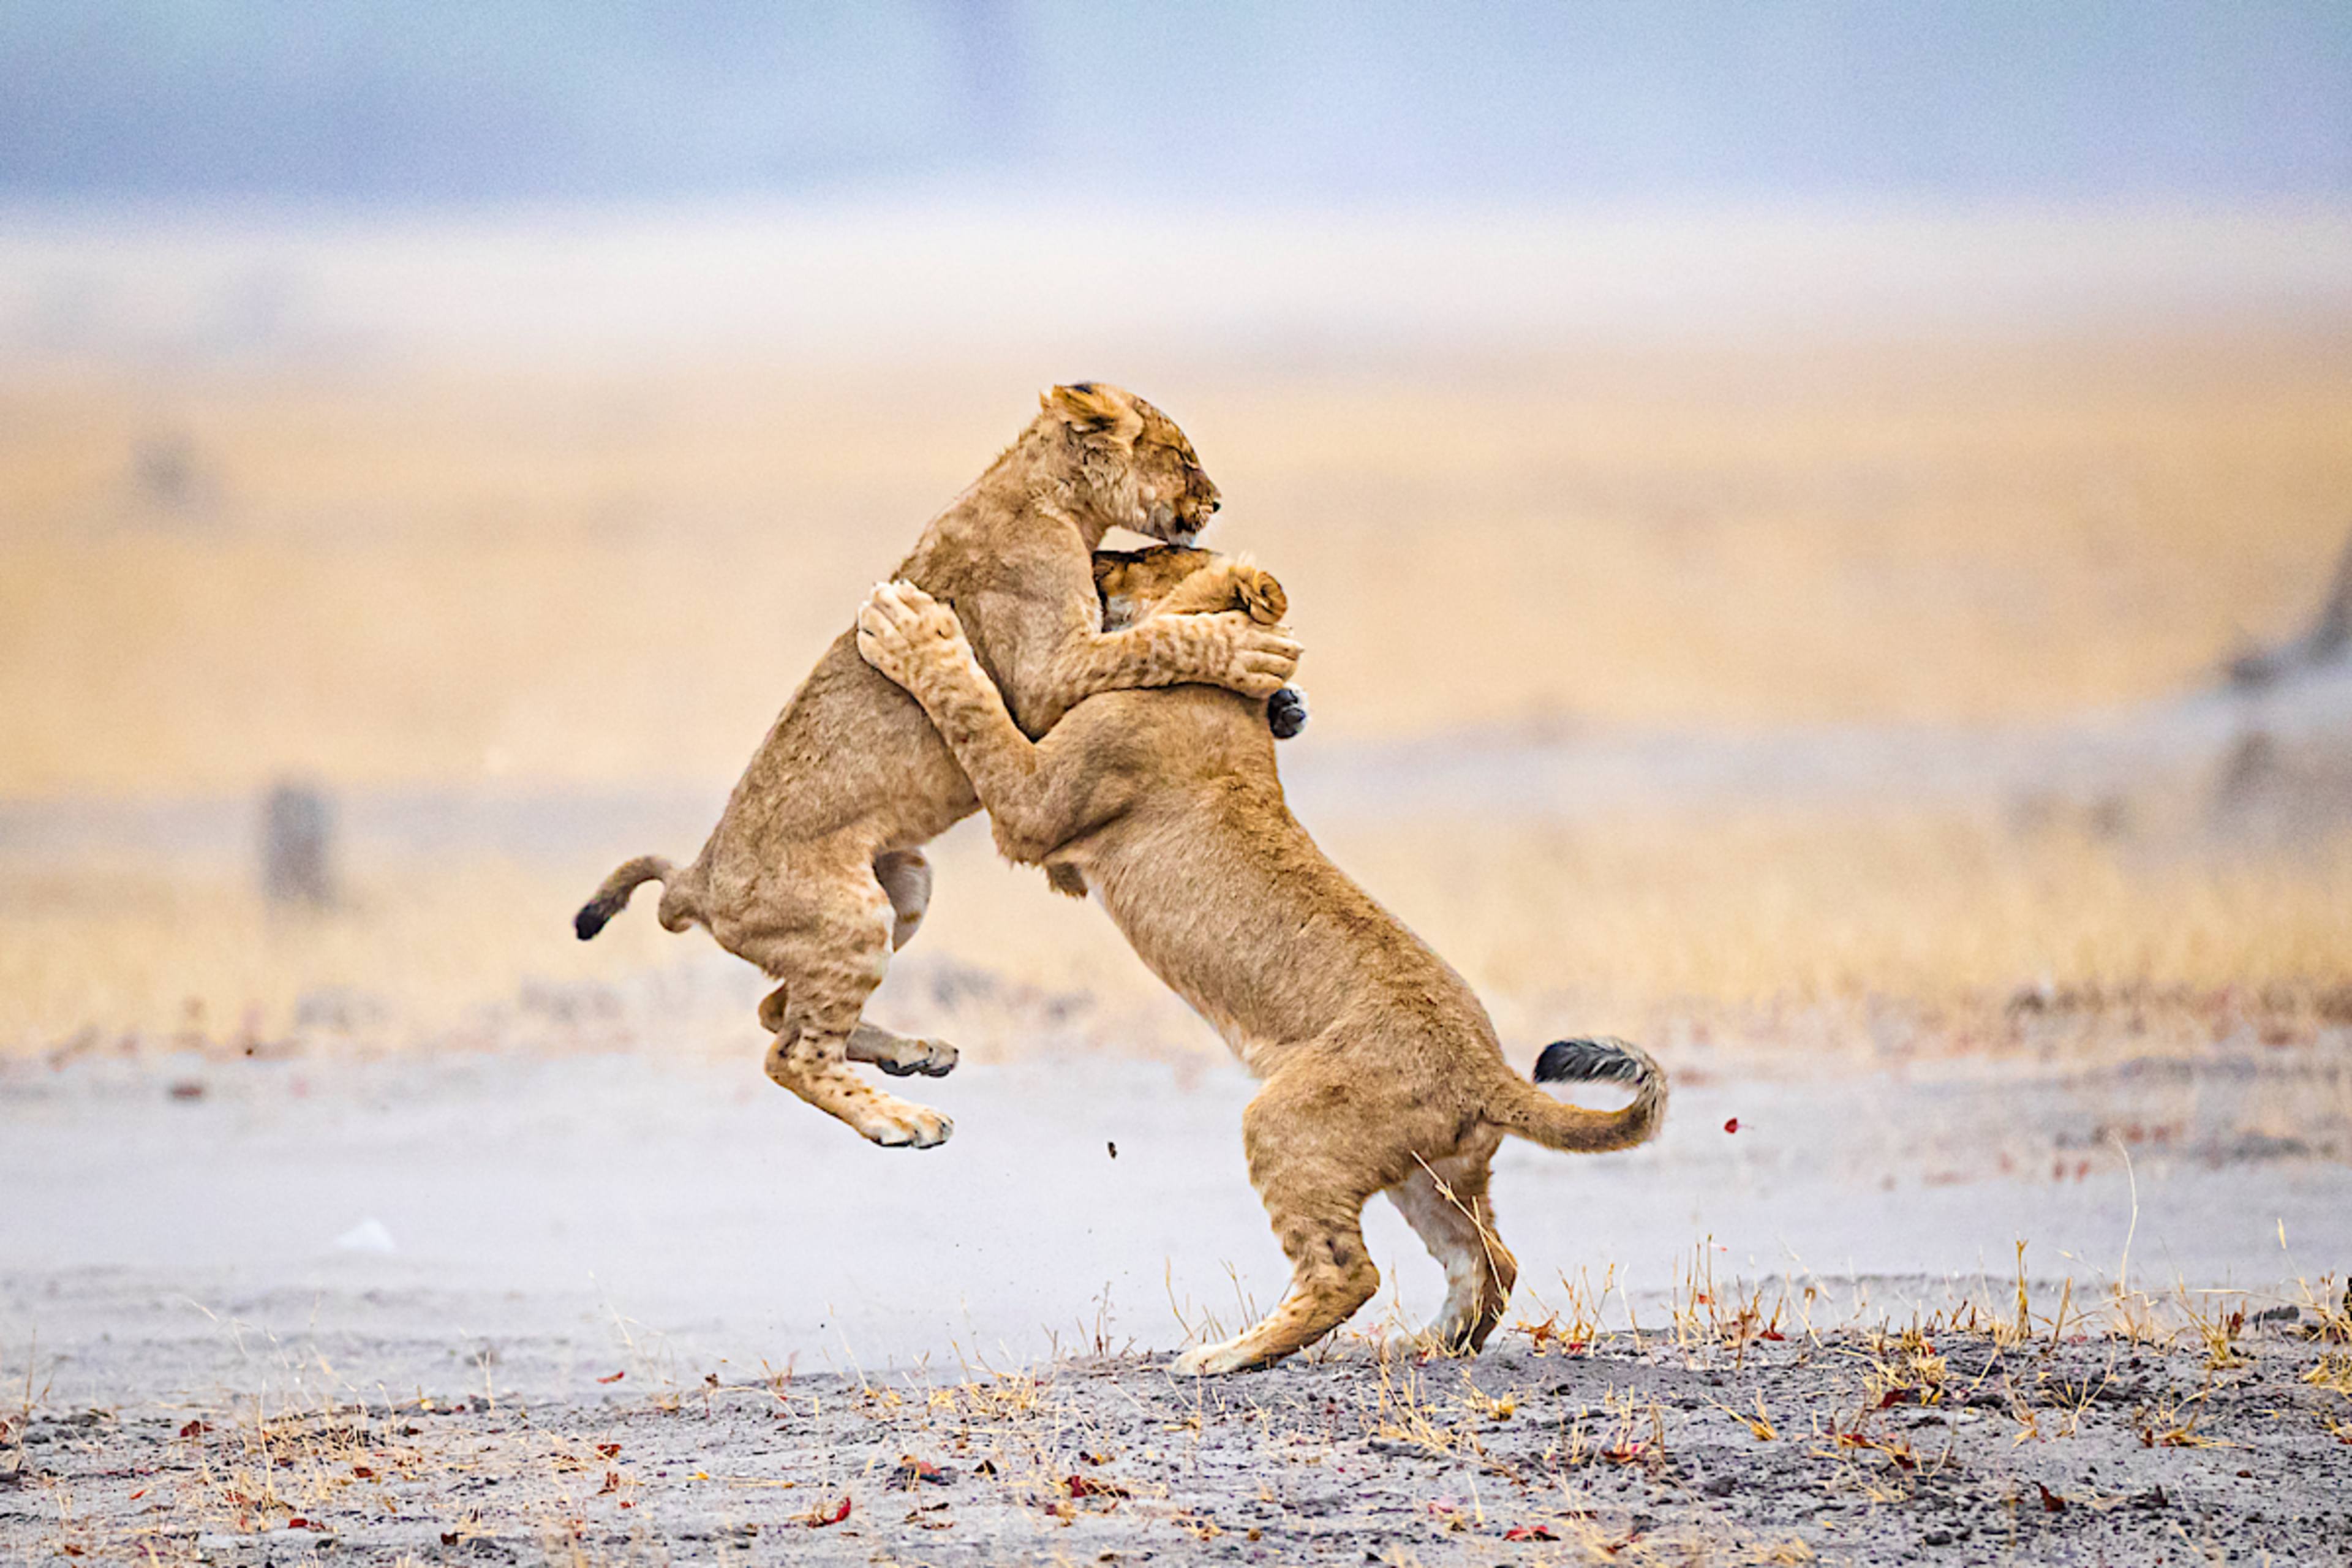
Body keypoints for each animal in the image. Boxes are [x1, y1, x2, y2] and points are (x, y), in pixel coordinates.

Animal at [572, 385, 1301, 1150]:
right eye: (1182, 457)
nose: (1216, 501)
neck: (1048, 495)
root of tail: (696, 883)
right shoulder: (1046, 678)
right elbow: (1158, 640)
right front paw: (1251, 652)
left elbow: (1148, 633)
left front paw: (1282, 701)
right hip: (853, 915)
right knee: (791, 1052)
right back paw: (902, 1118)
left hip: (905, 886)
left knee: (779, 1010)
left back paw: (914, 1053)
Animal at [853, 549, 1666, 1373]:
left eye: (1139, 555)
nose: (1095, 561)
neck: (1221, 699)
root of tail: (1487, 1068)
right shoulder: (1065, 858)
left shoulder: (1037, 805)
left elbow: (977, 709)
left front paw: (912, 629)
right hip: (1428, 1169)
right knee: (1489, 1258)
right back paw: (1424, 1344)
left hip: (1285, 1123)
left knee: (1349, 1272)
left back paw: (1226, 1355)